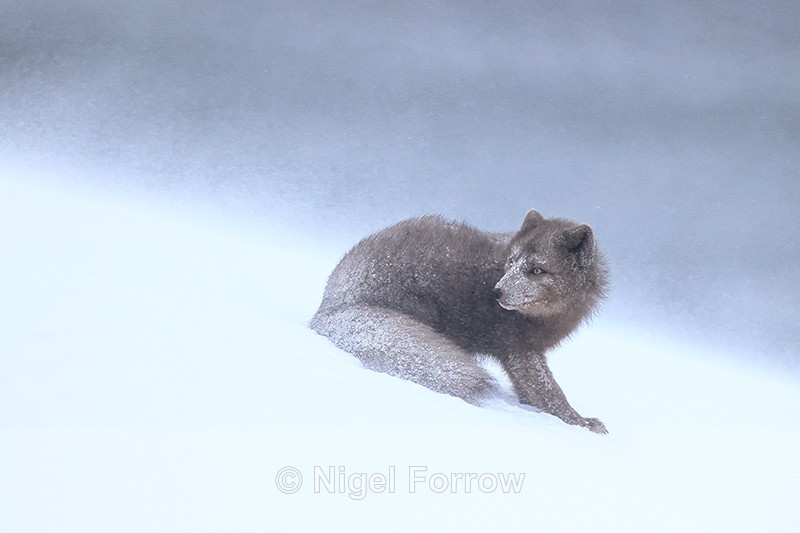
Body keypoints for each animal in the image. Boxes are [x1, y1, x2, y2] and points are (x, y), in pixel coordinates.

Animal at [310, 209, 610, 433]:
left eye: (537, 270)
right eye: (511, 262)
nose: (497, 292)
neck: (548, 316)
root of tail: (329, 305)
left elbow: (532, 392)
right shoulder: (519, 350)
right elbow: (549, 392)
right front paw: (579, 422)